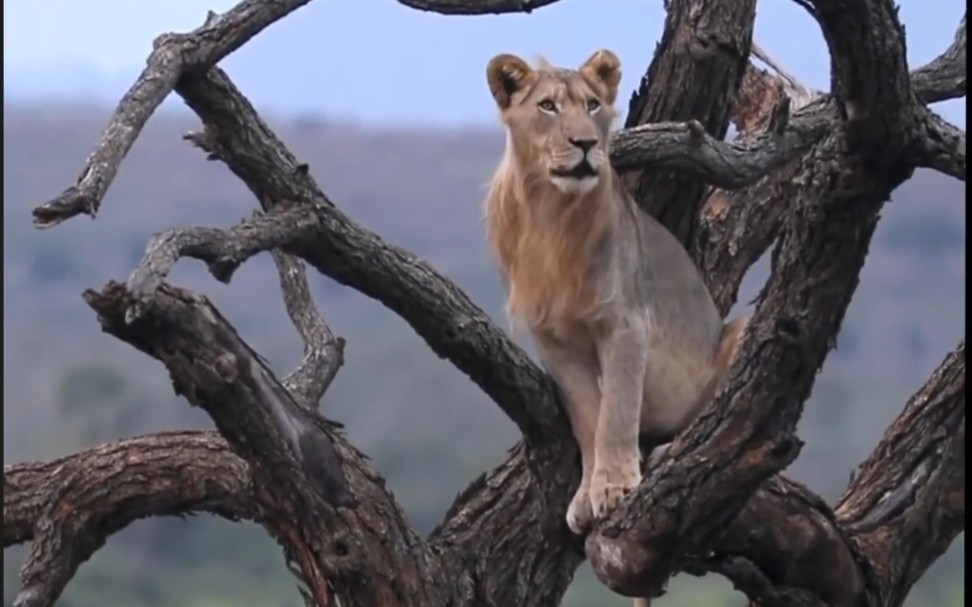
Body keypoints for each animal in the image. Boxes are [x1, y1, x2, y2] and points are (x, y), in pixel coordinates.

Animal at [482, 50, 748, 604]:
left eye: (592, 106)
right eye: (547, 106)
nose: (585, 143)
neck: (551, 213)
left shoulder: (625, 321)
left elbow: (619, 409)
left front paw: (617, 486)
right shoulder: (553, 338)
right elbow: (589, 414)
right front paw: (588, 494)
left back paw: (670, 448)